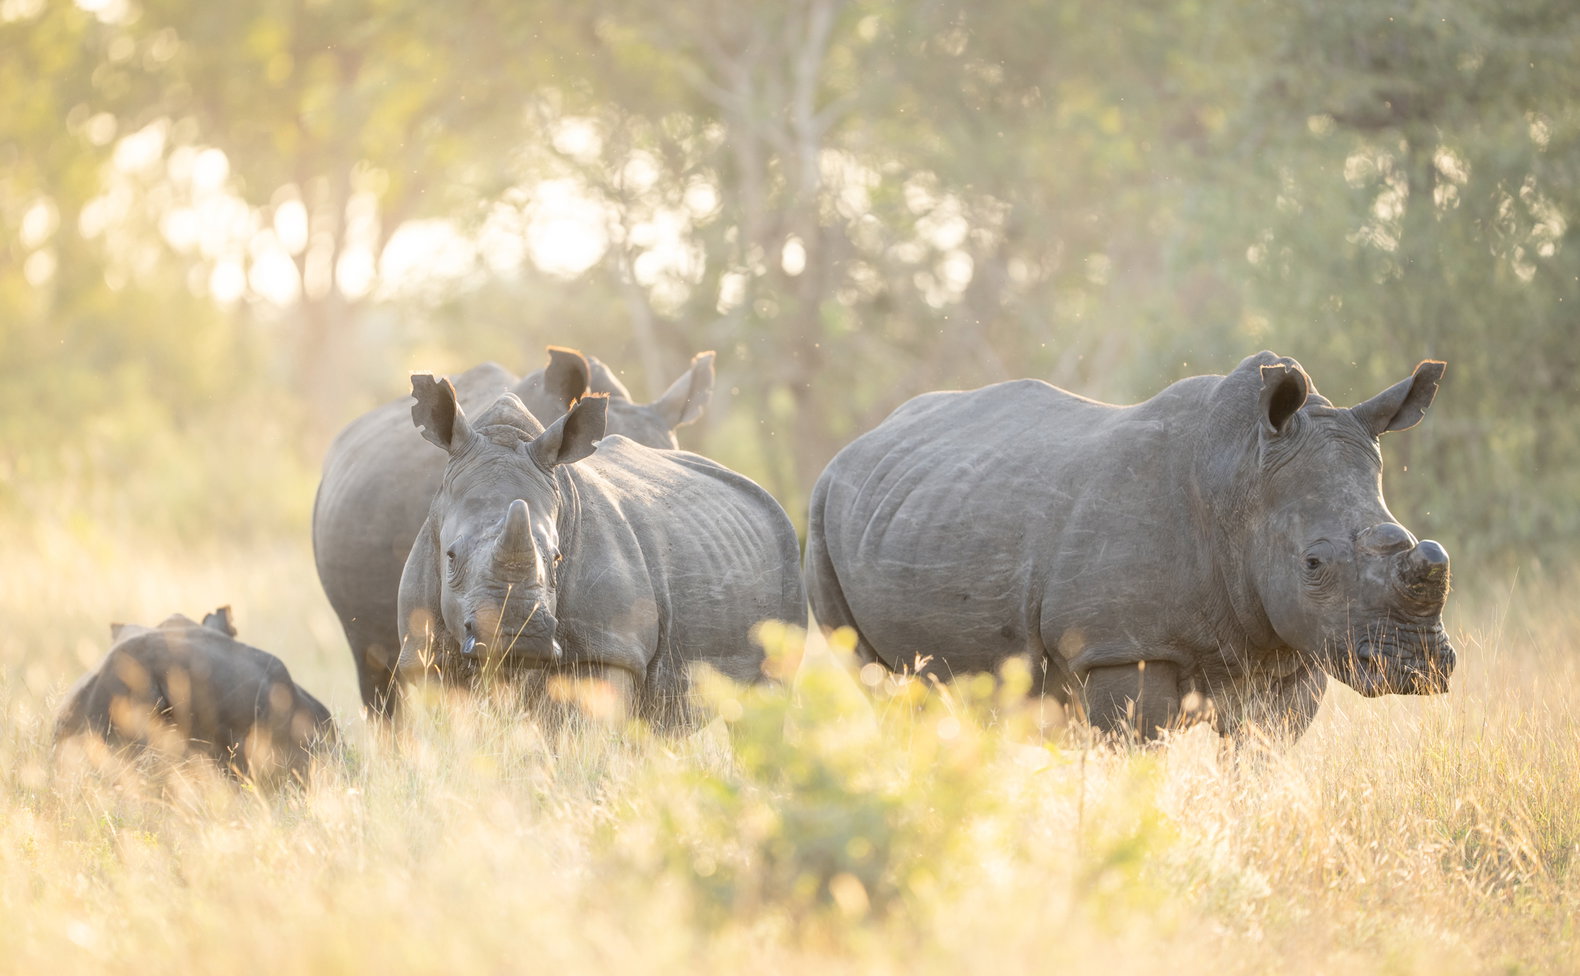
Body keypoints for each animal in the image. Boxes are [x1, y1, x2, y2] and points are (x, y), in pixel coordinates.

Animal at [805, 352, 1455, 741]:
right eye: (1314, 563)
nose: (1419, 667)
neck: (1242, 481)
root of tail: (856, 446)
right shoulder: (1123, 646)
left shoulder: (1294, 646)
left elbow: (1258, 759)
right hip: (821, 513)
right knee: (878, 683)